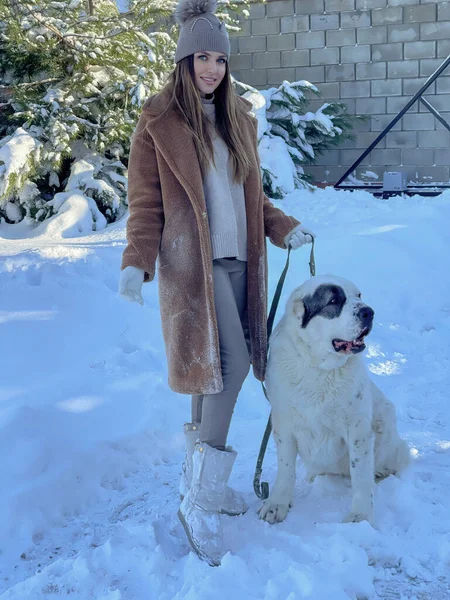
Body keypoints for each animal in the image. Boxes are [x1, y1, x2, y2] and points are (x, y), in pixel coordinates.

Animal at [258, 276, 410, 524]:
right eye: (333, 300)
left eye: (358, 296)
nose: (369, 312)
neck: (319, 368)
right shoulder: (283, 426)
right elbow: (286, 468)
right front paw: (277, 503)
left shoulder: (358, 429)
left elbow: (360, 475)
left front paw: (360, 516)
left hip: (387, 428)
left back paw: (380, 473)